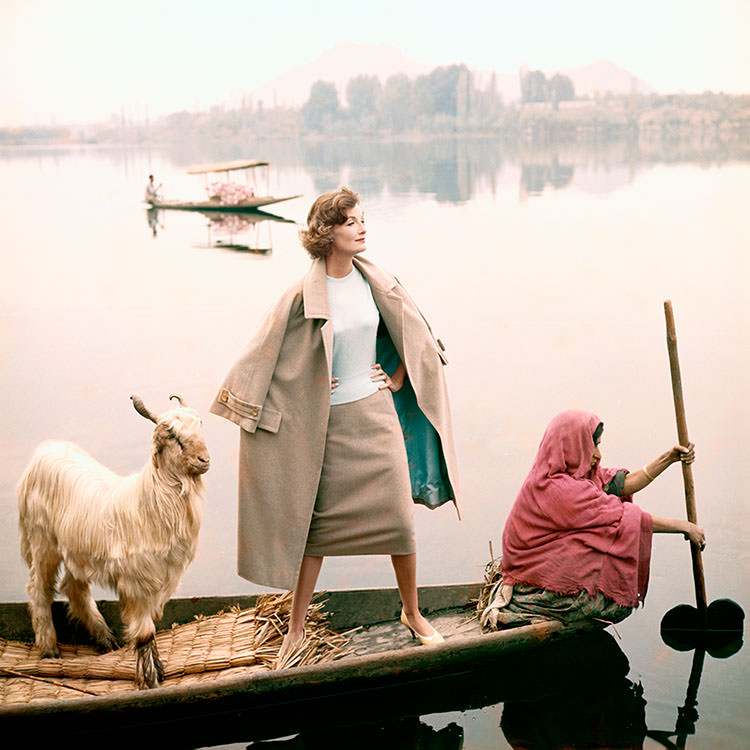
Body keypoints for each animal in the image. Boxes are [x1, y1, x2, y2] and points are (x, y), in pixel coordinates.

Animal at [18, 396, 212, 692]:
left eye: (200, 425)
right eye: (173, 435)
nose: (204, 460)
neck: (152, 503)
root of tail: (46, 450)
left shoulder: (163, 581)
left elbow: (152, 625)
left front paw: (158, 668)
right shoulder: (137, 583)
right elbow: (144, 633)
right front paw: (149, 681)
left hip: (75, 550)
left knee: (74, 588)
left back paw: (104, 638)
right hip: (42, 540)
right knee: (39, 588)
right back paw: (49, 648)